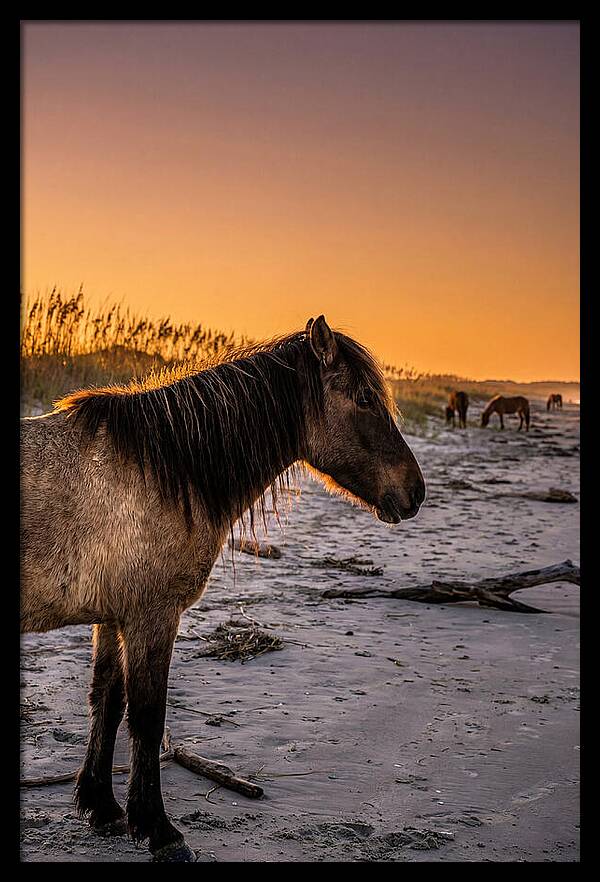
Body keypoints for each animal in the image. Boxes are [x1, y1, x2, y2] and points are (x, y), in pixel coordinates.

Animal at [20, 315, 426, 862]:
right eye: (364, 398)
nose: (415, 492)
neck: (164, 469)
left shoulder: (114, 616)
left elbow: (107, 699)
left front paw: (102, 807)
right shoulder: (153, 617)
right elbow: (147, 716)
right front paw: (159, 830)